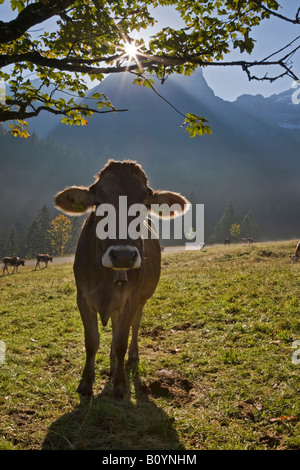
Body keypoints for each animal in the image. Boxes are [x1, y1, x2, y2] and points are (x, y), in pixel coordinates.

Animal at [55, 159, 189, 396]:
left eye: (144, 204)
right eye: (99, 203)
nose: (124, 255)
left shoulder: (131, 299)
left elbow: (121, 341)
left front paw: (119, 383)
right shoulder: (83, 298)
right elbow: (92, 341)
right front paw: (86, 382)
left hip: (141, 299)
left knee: (134, 325)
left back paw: (132, 356)